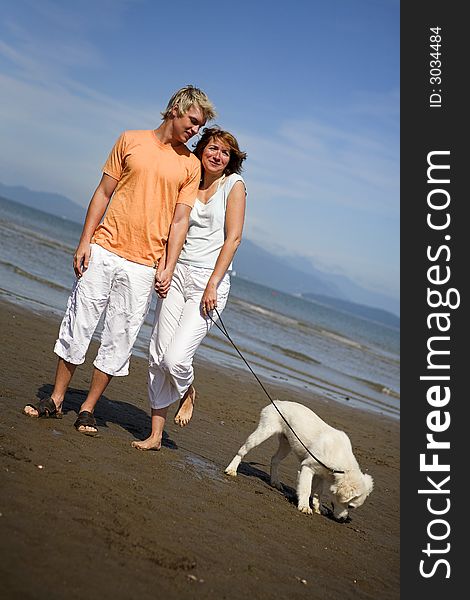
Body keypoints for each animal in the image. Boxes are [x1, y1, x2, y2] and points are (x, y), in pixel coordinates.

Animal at [225, 398, 374, 520]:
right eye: (350, 506)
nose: (343, 519)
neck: (342, 465)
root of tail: (277, 402)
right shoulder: (308, 467)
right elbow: (306, 489)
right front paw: (305, 507)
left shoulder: (322, 474)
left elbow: (318, 492)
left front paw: (318, 507)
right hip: (263, 432)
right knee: (243, 450)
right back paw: (231, 469)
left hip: (286, 444)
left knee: (274, 459)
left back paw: (275, 482)